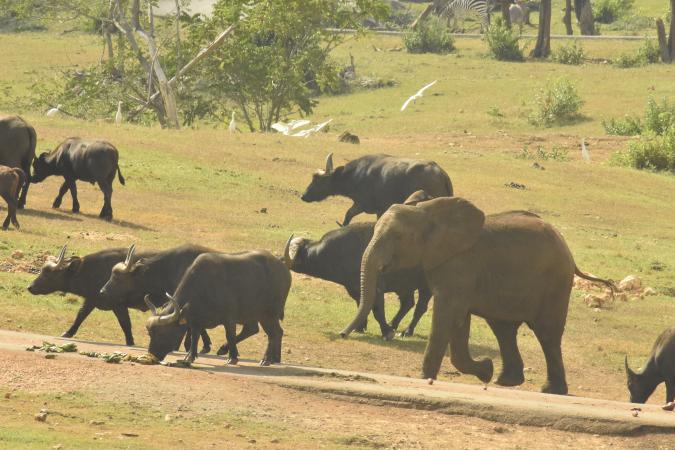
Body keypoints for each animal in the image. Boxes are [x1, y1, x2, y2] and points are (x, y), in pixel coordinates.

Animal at [26, 246, 157, 344]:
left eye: (48, 274)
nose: (30, 287)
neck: (90, 271)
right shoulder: (91, 300)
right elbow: (80, 315)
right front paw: (68, 332)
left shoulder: (118, 305)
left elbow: (125, 323)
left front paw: (130, 342)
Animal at [144, 250, 292, 366]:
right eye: (150, 333)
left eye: (162, 333)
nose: (152, 354)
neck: (203, 287)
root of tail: (284, 268)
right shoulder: (196, 321)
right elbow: (195, 337)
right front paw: (190, 356)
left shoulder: (229, 319)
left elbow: (230, 335)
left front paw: (232, 358)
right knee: (261, 330)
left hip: (268, 315)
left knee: (273, 334)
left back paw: (266, 359)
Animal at [282, 223, 430, 340]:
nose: (280, 260)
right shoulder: (356, 289)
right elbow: (361, 305)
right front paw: (360, 327)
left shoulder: (376, 288)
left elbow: (377, 311)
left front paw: (386, 332)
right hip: (405, 286)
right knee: (407, 303)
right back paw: (394, 325)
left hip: (426, 287)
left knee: (420, 307)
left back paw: (407, 331)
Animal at [302, 154, 454, 225]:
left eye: (318, 180)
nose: (303, 196)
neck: (355, 175)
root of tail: (441, 173)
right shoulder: (370, 208)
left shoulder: (365, 205)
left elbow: (349, 215)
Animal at [340, 193, 616, 394]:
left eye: (397, 237)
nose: (342, 334)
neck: (427, 211)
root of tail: (567, 249)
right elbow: (459, 320)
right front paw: (485, 370)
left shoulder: (460, 265)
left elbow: (448, 314)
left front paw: (425, 377)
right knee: (504, 329)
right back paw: (505, 381)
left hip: (555, 282)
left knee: (546, 333)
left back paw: (551, 391)